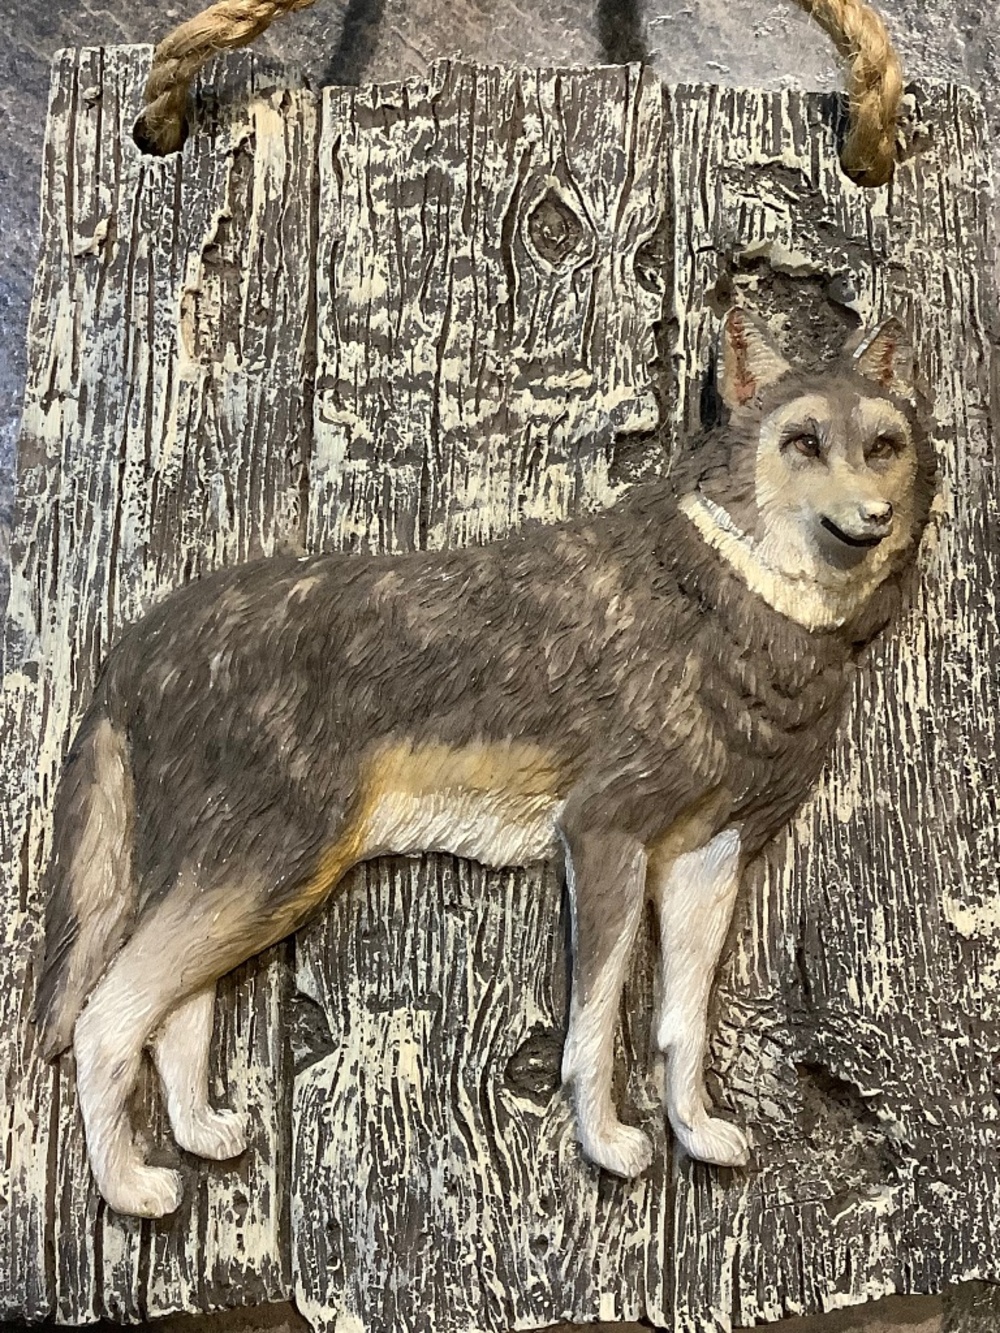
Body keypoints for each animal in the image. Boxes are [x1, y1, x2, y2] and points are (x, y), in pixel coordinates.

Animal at [35, 308, 935, 1218]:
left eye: (883, 445)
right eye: (805, 442)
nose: (874, 517)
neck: (722, 598)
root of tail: (138, 639)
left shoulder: (707, 860)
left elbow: (682, 1023)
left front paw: (696, 1131)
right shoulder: (602, 837)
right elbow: (595, 1022)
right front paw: (606, 1143)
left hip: (248, 884)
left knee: (176, 1019)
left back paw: (199, 1134)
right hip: (261, 871)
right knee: (105, 1022)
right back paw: (131, 1186)